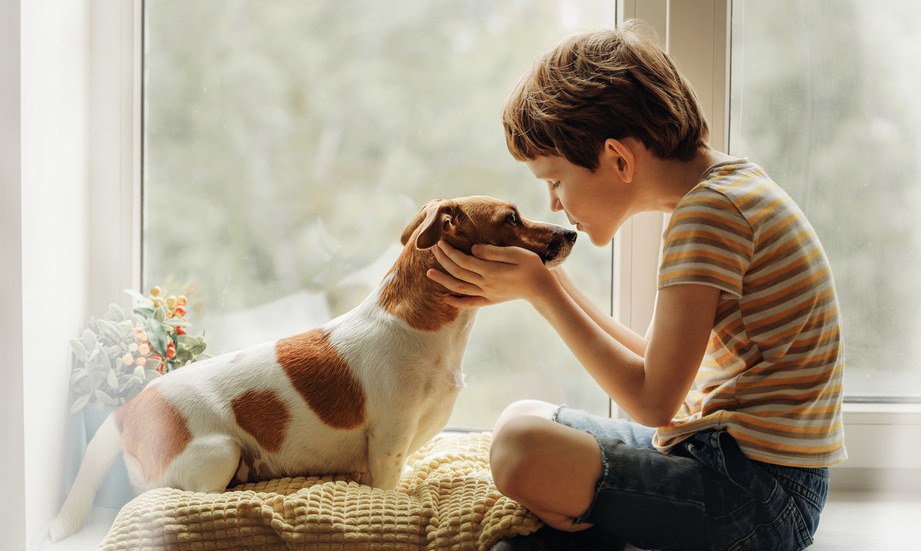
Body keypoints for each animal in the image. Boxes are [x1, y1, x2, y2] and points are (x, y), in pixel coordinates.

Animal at [50, 196, 576, 540]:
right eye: (511, 218)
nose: (572, 232)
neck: (427, 328)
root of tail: (129, 410)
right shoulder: (388, 445)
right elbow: (392, 484)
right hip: (219, 452)